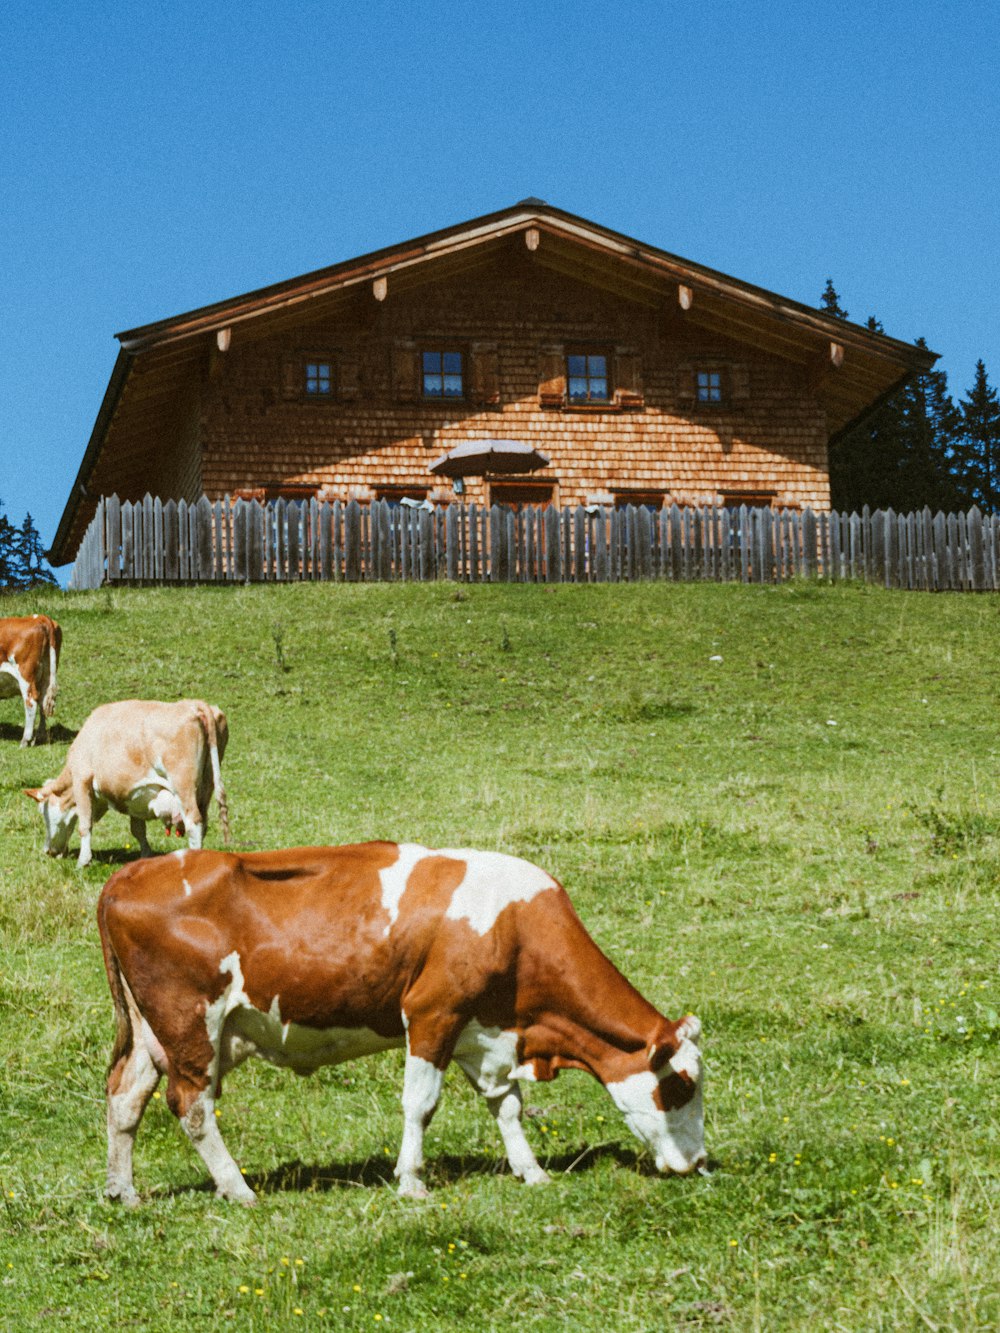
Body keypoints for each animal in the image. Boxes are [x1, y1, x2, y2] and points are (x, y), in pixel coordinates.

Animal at [0, 615, 61, 746]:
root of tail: (39, 618)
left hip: (26, 674)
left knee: (31, 702)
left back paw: (25, 740)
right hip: (47, 675)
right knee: (43, 700)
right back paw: (39, 737)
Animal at [25, 693, 229, 869]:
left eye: (43, 813)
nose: (48, 851)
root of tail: (193, 705)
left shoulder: (82, 780)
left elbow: (84, 825)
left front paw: (83, 861)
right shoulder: (135, 794)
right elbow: (137, 829)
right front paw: (145, 856)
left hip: (183, 785)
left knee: (194, 822)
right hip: (207, 786)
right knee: (204, 823)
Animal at [94, 842, 704, 1210]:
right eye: (682, 1085)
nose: (698, 1163)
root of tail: (133, 871)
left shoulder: (485, 1035)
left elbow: (506, 1106)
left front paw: (530, 1171)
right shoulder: (433, 1014)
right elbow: (421, 1105)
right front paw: (411, 1181)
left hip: (153, 1033)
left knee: (126, 1095)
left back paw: (123, 1190)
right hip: (189, 1023)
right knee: (191, 1105)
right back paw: (237, 1187)